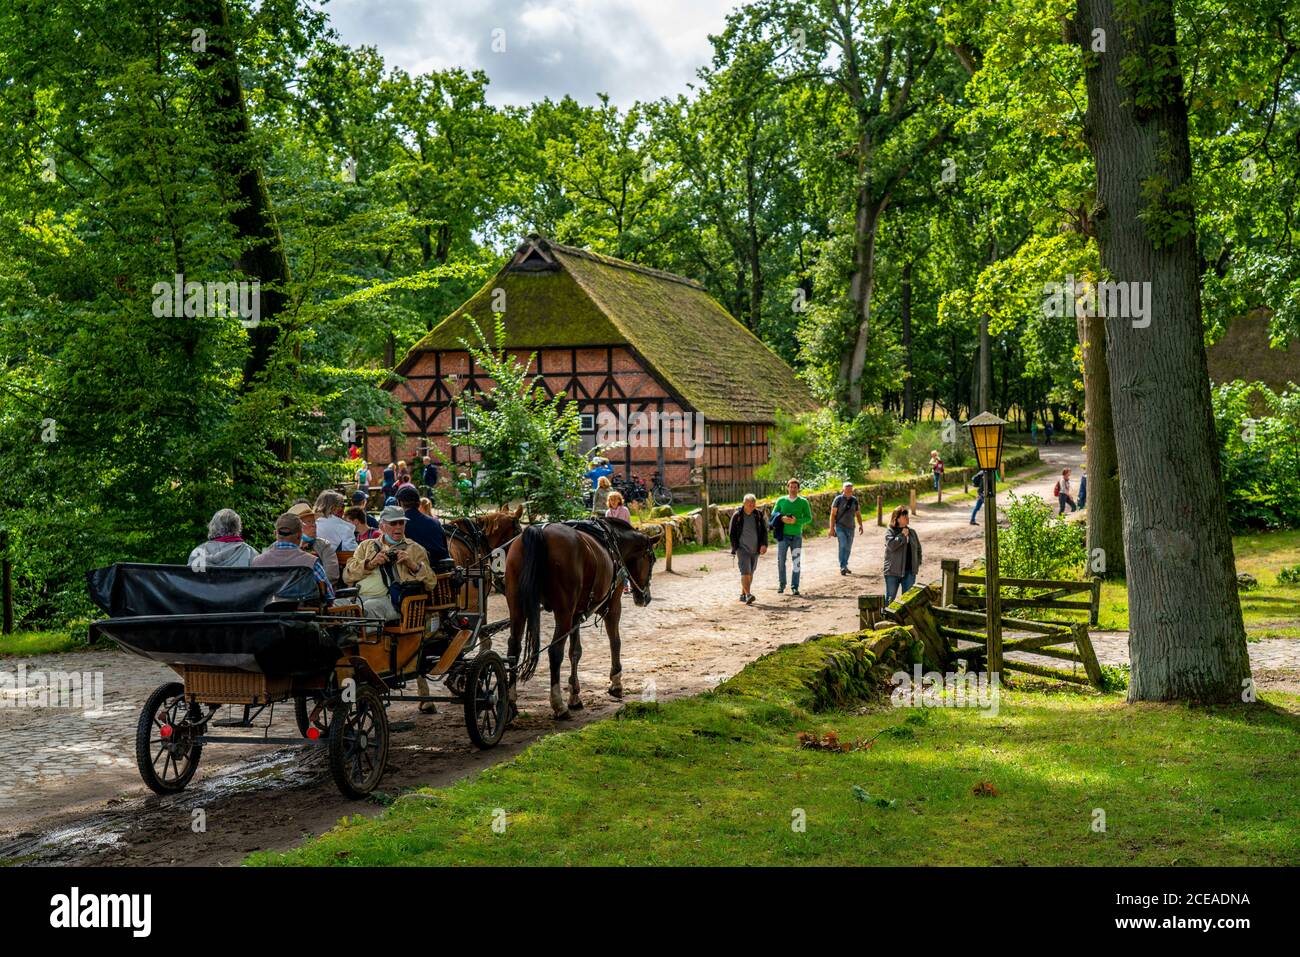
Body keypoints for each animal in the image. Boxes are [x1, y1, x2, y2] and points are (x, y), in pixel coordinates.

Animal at [499, 522, 660, 717]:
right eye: (651, 559)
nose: (646, 597)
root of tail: (541, 531)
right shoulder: (613, 605)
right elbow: (615, 641)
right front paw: (616, 683)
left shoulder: (576, 614)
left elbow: (575, 651)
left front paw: (574, 695)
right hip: (564, 612)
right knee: (555, 651)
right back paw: (558, 704)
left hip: (518, 607)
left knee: (514, 647)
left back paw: (511, 701)